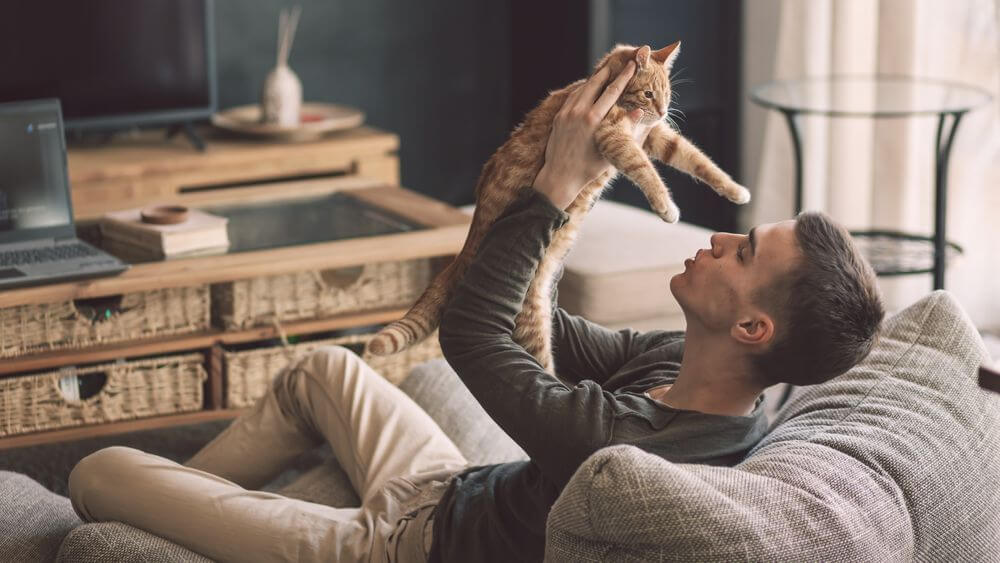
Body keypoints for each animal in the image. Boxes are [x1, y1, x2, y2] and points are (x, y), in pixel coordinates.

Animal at [368, 40, 752, 374]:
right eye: (648, 94)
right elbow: (647, 172)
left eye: (667, 95)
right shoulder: (613, 136)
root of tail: (464, 250)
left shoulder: (654, 136)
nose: (661, 111)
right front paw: (666, 207)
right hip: (532, 320)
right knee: (542, 372)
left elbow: (697, 160)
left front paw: (736, 191)